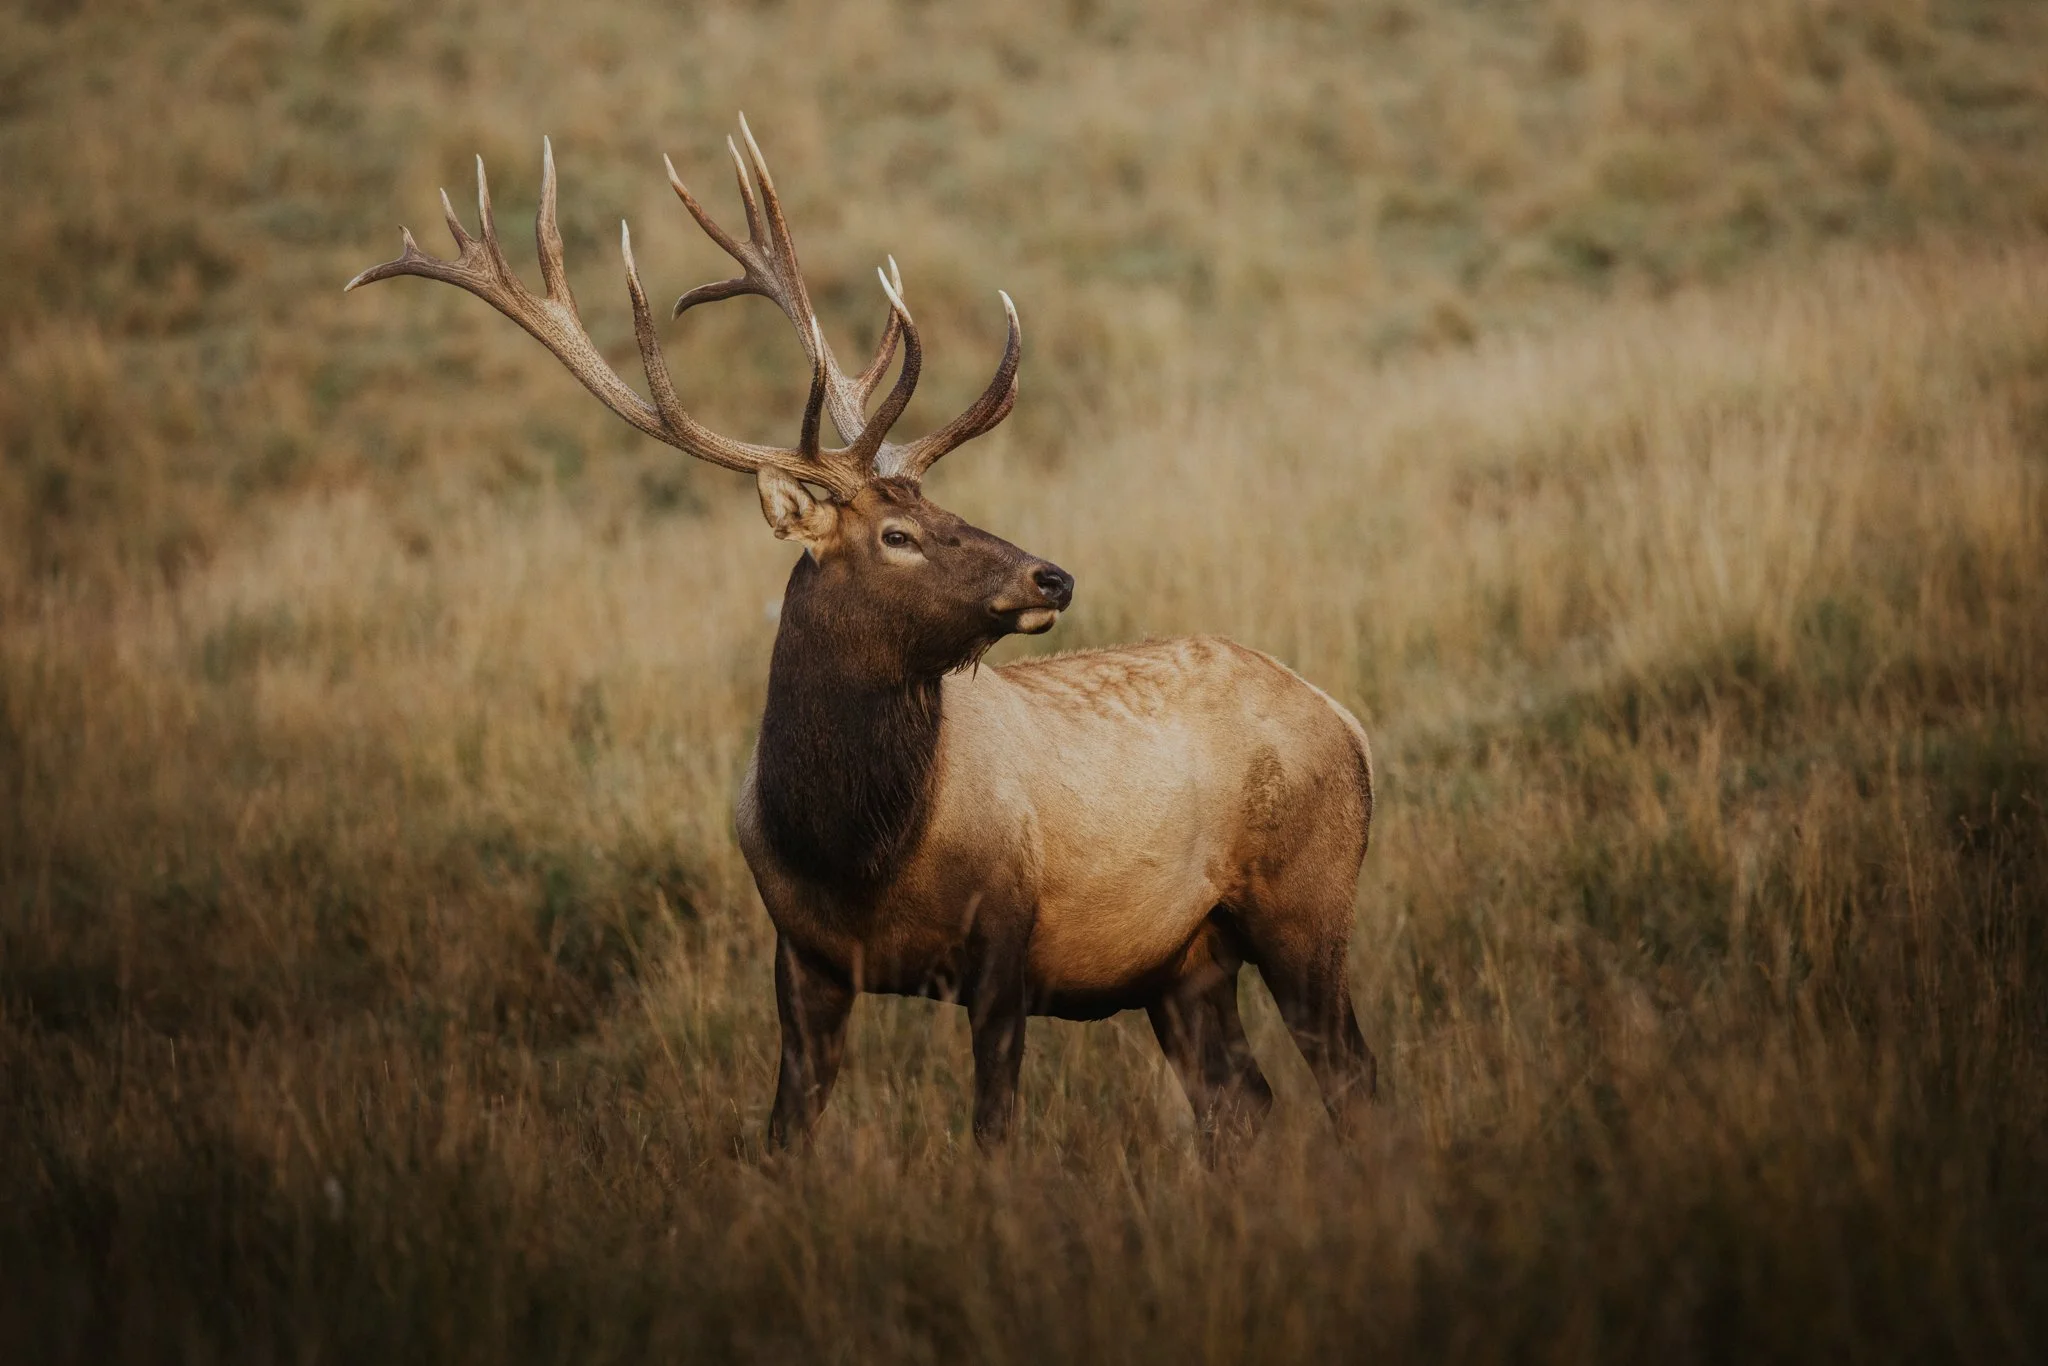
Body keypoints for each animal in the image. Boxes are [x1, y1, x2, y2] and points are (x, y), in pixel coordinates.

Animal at [346, 118, 1378, 1153]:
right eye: (899, 534)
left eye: (943, 508)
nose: (1051, 575)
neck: (854, 851)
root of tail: (1349, 723)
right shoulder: (800, 957)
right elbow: (784, 1136)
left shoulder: (1006, 938)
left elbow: (993, 1132)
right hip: (1184, 960)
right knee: (1243, 1098)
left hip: (1307, 901)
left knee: (1352, 1078)